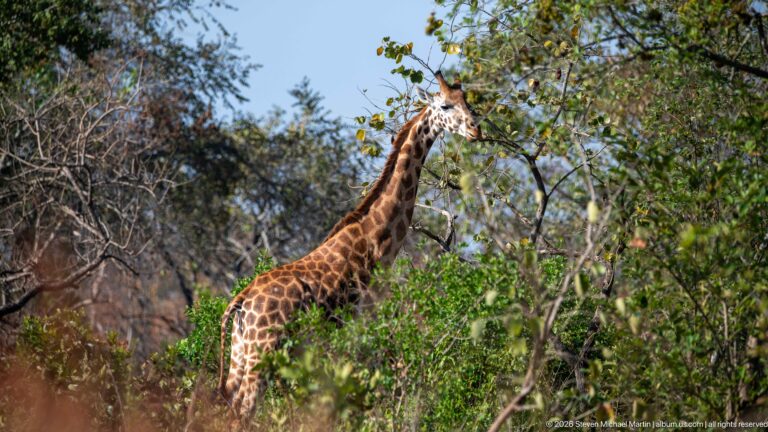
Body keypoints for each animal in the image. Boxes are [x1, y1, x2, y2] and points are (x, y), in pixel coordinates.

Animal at [218, 71, 480, 425]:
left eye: (467, 101)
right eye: (445, 105)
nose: (476, 130)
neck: (376, 239)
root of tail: (242, 300)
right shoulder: (364, 322)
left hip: (241, 350)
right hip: (266, 348)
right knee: (246, 408)